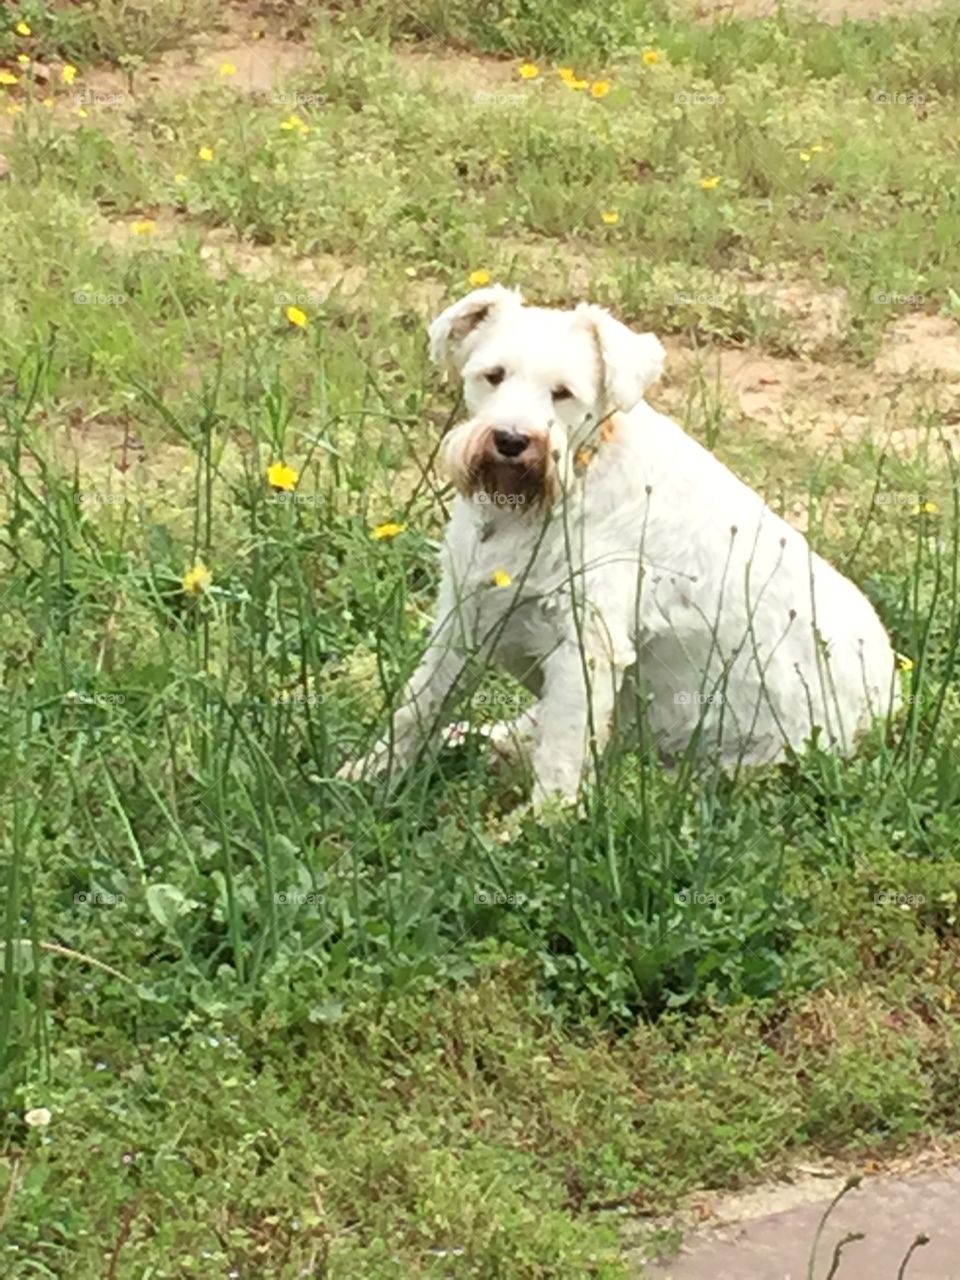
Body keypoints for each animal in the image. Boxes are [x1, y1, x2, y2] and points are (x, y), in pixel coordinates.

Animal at [343, 289, 901, 803]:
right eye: (493, 375)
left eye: (563, 392)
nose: (511, 440)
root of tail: (890, 705)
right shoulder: (463, 618)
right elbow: (417, 705)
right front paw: (364, 772)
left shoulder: (586, 645)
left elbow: (563, 752)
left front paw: (542, 825)